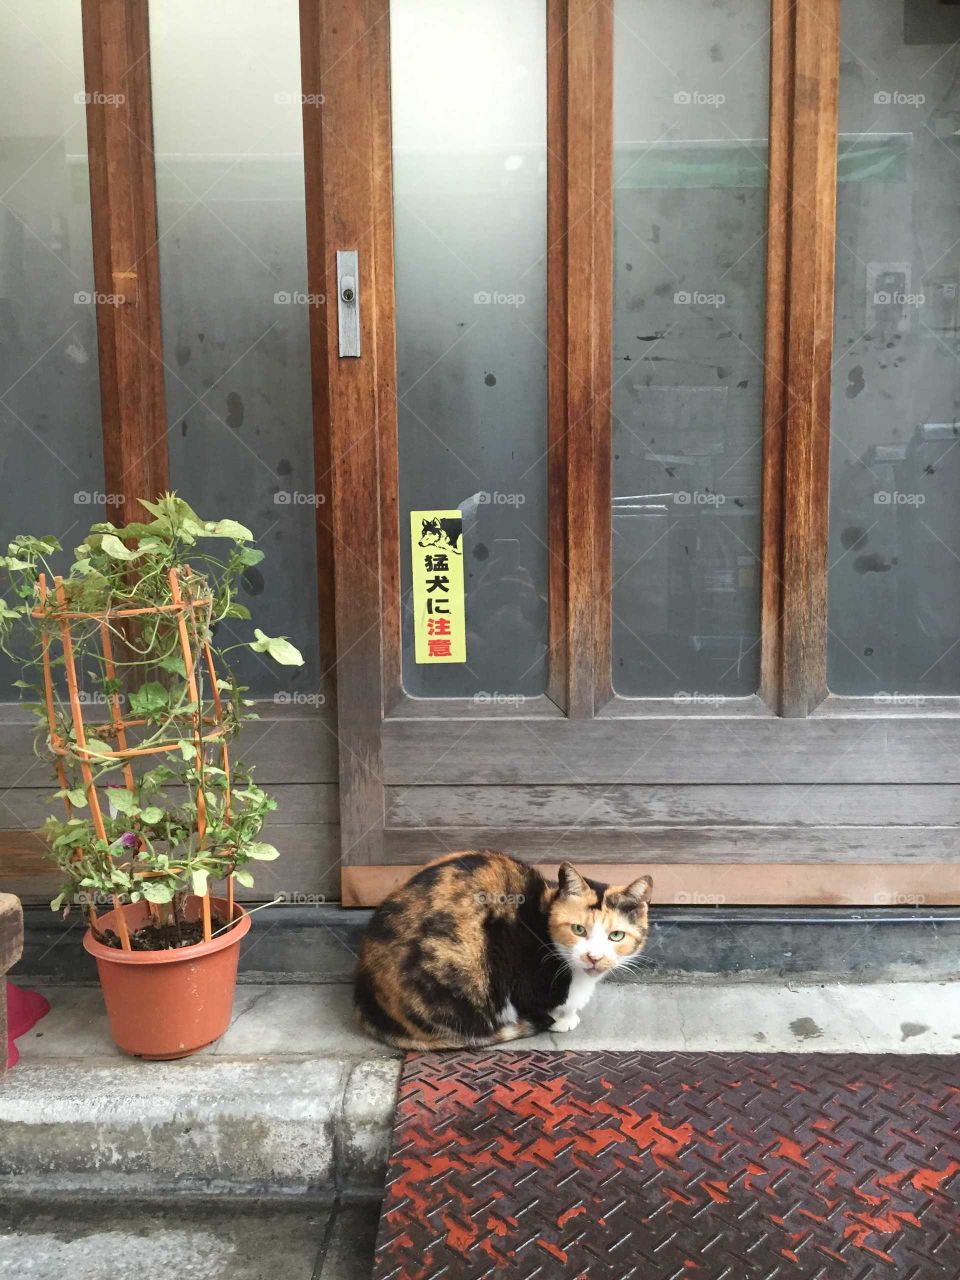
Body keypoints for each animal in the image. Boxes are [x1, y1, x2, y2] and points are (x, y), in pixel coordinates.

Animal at [353, 849, 655, 1049]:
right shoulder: (524, 978)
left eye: (616, 935)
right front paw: (562, 1019)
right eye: (578, 930)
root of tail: (366, 999)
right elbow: (537, 1005)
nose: (594, 957)